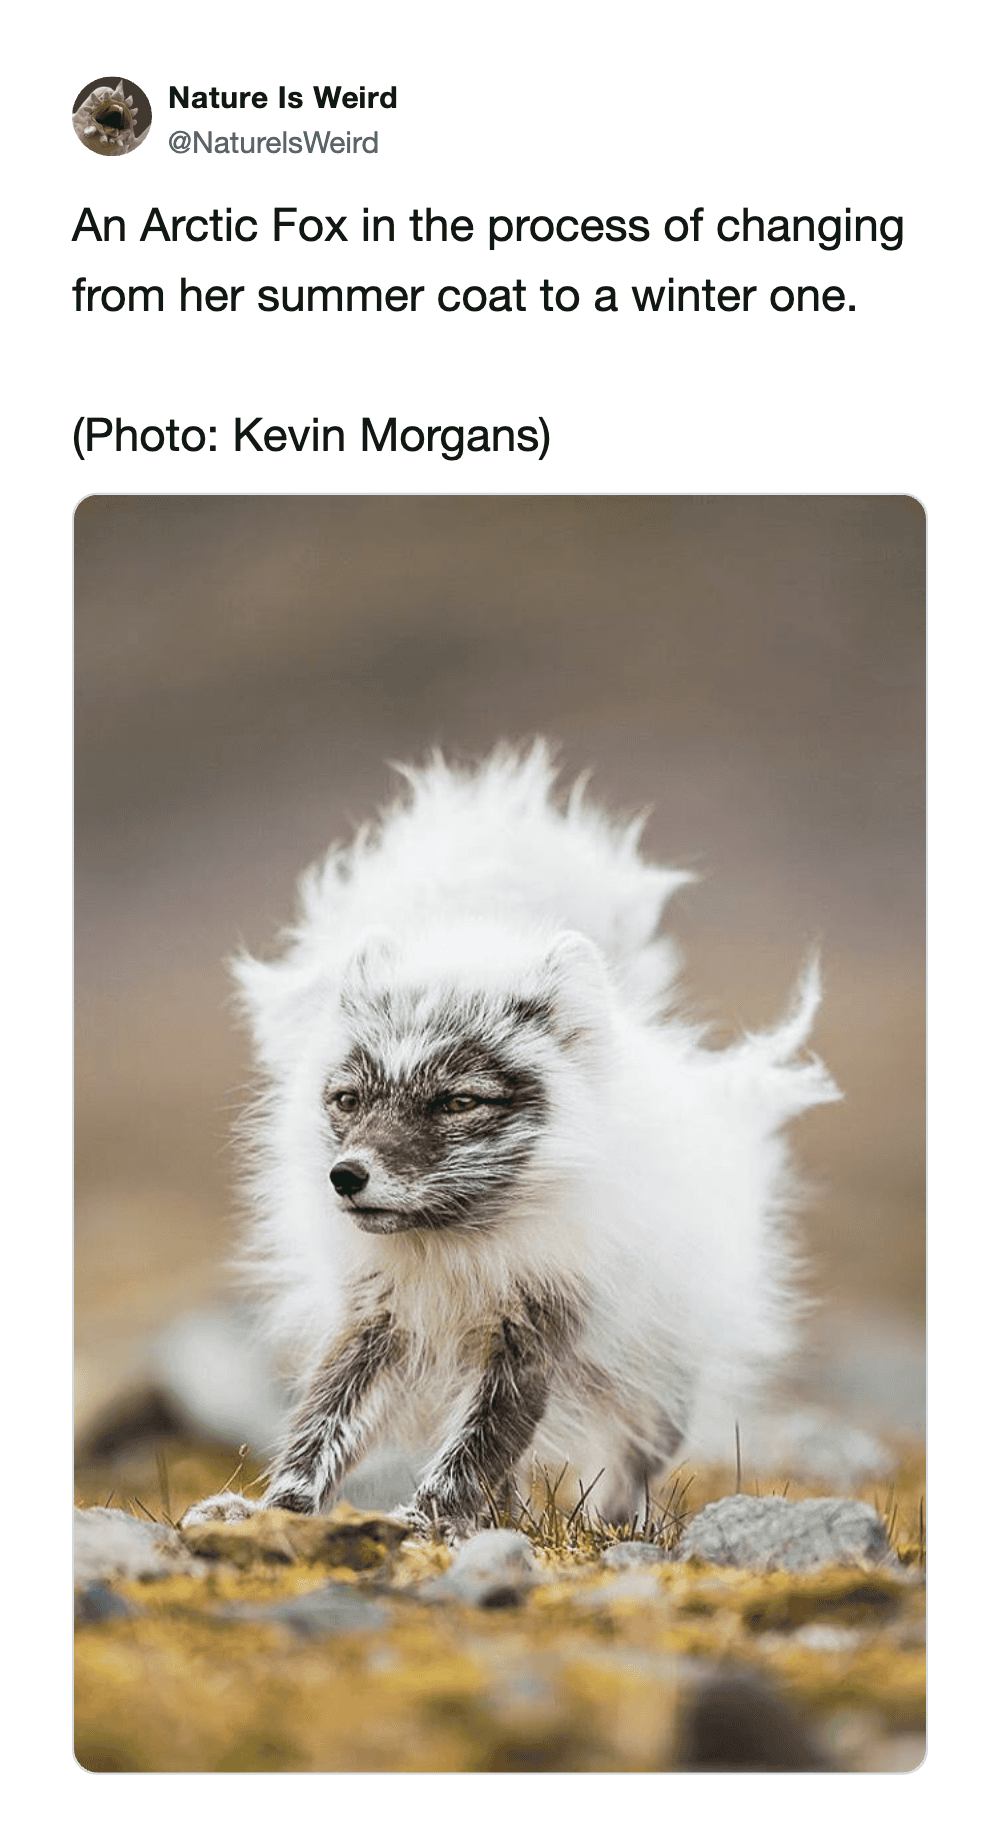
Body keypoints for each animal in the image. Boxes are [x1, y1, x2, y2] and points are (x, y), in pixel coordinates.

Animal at [182, 742, 838, 1538]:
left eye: (458, 1101)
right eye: (348, 1100)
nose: (346, 1175)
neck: (457, 1251)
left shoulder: (534, 1336)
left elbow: (475, 1448)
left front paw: (424, 1525)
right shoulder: (377, 1320)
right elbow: (322, 1425)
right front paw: (275, 1511)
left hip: (656, 1373)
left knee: (631, 1456)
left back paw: (614, 1526)